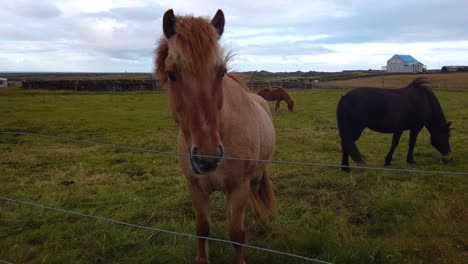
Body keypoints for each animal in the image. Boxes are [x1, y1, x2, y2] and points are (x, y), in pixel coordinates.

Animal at [155, 9, 276, 262]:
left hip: (256, 176)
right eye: (172, 74)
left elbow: (237, 234)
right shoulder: (195, 187)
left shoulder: (239, 187)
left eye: (222, 73)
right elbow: (202, 229)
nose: (207, 157)